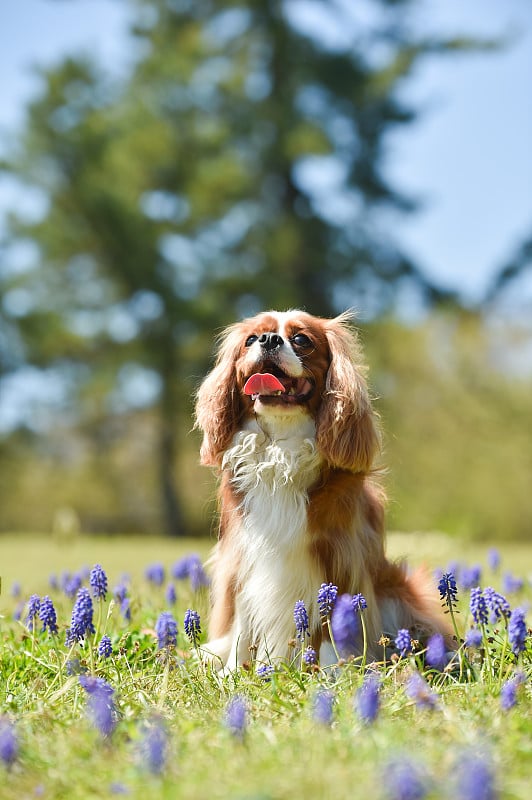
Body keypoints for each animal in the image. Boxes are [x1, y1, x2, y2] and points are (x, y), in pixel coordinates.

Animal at [194, 310, 448, 664]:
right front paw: (234, 670)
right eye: (250, 339)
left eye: (302, 339)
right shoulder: (242, 557)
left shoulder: (337, 556)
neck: (281, 449)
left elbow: (330, 623)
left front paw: (332, 668)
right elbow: (243, 626)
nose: (268, 340)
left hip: (399, 589)